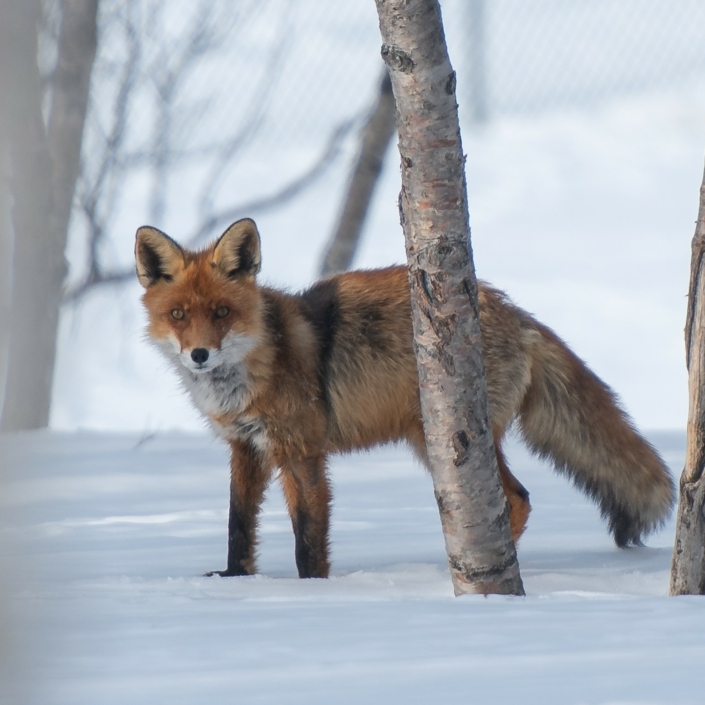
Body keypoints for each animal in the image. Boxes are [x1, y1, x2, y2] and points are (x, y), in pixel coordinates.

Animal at [135, 219, 672, 576]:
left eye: (222, 312)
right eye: (179, 314)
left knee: (515, 500)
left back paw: (484, 569)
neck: (257, 364)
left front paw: (311, 593)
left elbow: (308, 536)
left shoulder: (301, 451)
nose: (199, 355)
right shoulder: (244, 448)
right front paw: (235, 580)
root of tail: (515, 311)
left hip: (443, 438)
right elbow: (238, 524)